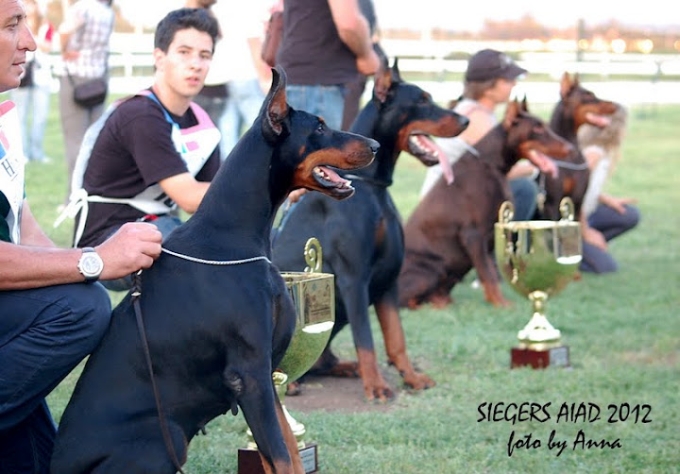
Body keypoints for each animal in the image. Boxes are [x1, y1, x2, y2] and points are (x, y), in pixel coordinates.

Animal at [50, 66, 378, 474]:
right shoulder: (250, 373)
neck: (231, 236)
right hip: (165, 439)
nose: (375, 145)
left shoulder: (266, 374)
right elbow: (281, 456)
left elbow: (288, 449)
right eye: (319, 126)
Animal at [271, 60, 469, 401]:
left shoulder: (389, 278)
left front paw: (411, 378)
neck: (371, 186)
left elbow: (396, 337)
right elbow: (366, 340)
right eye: (422, 101)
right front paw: (376, 386)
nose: (465, 120)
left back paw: (343, 366)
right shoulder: (355, 279)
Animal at [398, 98, 573, 309]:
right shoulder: (472, 234)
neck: (493, 165)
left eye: (545, 126)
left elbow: (495, 270)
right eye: (537, 129)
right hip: (432, 269)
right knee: (404, 301)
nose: (570, 148)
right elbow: (488, 274)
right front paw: (501, 304)